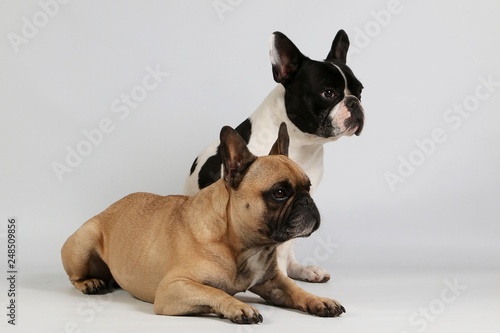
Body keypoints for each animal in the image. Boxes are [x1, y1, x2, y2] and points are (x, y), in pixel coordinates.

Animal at [61, 122, 344, 322]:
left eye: (308, 186)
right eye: (280, 193)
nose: (307, 201)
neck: (240, 245)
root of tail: (107, 210)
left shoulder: (274, 282)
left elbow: (296, 290)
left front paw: (320, 300)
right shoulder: (173, 288)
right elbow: (214, 291)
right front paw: (239, 307)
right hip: (84, 241)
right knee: (75, 276)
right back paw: (90, 283)